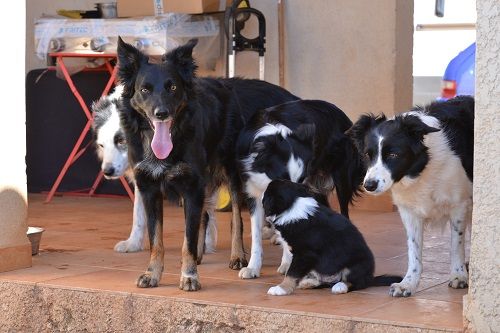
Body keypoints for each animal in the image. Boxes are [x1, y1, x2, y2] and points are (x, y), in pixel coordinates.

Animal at [115, 37, 298, 290]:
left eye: (173, 87)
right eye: (145, 89)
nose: (161, 113)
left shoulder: (191, 186)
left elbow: (188, 239)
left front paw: (189, 275)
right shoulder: (150, 189)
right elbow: (156, 240)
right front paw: (153, 273)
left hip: (234, 174)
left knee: (237, 220)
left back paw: (238, 256)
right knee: (204, 216)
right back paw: (202, 255)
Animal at [236, 100, 366, 278]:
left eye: (300, 180)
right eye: (280, 178)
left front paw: (287, 264)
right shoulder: (252, 188)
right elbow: (256, 234)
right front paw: (253, 268)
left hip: (342, 176)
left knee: (344, 211)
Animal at [264, 179, 400, 296]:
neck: (293, 206)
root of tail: (370, 277)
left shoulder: (305, 254)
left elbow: (292, 273)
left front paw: (281, 289)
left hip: (356, 265)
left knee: (356, 283)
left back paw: (340, 286)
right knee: (323, 282)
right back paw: (308, 283)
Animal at [348, 95, 472, 296]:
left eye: (393, 154)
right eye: (368, 155)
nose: (369, 185)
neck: (423, 169)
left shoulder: (459, 204)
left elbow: (456, 244)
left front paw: (459, 275)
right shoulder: (409, 211)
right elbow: (414, 251)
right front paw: (408, 283)